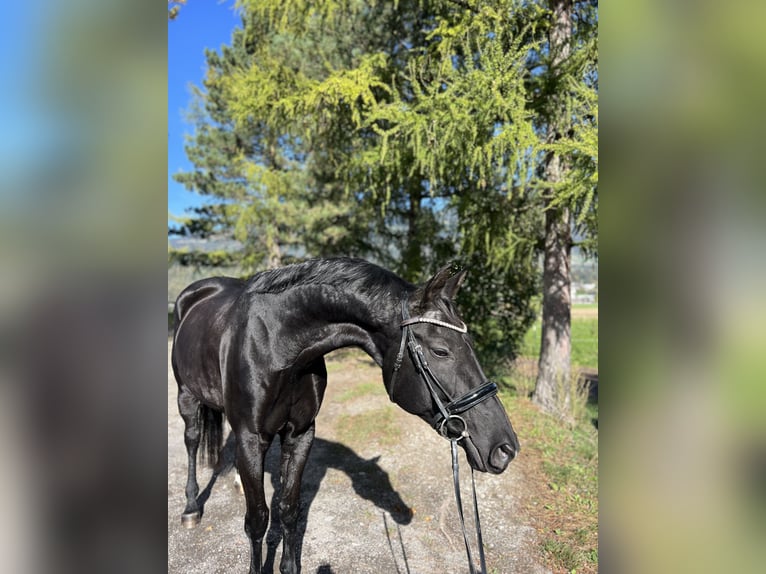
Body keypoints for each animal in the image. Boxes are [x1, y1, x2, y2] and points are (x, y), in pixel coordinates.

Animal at [172, 260, 520, 574]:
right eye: (440, 351)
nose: (506, 448)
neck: (277, 344)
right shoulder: (251, 437)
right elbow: (257, 520)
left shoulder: (300, 434)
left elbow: (289, 509)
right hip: (186, 396)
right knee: (191, 441)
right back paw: (191, 508)